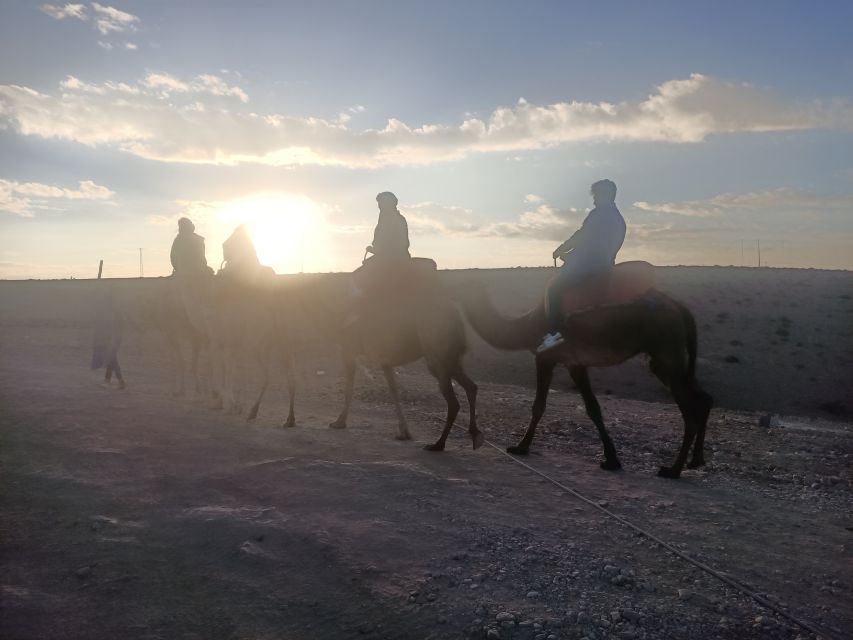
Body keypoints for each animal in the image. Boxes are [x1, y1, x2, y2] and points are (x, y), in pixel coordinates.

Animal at [298, 270, 482, 450]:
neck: (336, 321)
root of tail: (456, 315)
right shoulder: (385, 359)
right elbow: (393, 391)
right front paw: (404, 432)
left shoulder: (349, 350)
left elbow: (349, 388)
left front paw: (339, 422)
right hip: (451, 357)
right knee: (471, 386)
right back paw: (474, 435)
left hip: (436, 350)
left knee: (453, 401)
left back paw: (438, 444)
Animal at [452, 282, 712, 480]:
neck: (526, 326)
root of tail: (679, 307)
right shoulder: (575, 363)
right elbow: (593, 408)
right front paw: (611, 459)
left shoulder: (546, 357)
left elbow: (539, 406)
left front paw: (521, 447)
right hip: (670, 359)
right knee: (703, 397)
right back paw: (696, 460)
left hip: (666, 352)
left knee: (689, 412)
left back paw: (673, 470)